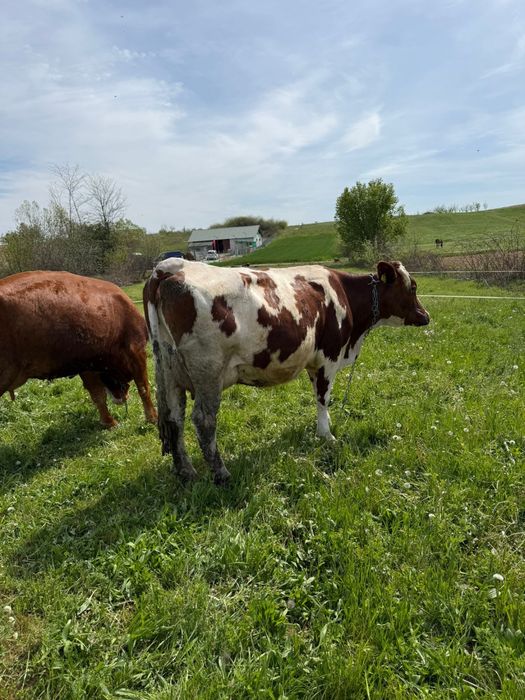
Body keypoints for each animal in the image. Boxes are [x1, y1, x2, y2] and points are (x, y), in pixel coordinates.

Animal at [0, 271, 157, 427]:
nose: (122, 398)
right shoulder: (136, 348)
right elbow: (144, 387)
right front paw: (152, 418)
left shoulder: (87, 364)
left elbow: (98, 396)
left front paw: (109, 422)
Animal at [144, 259, 430, 484]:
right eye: (413, 287)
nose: (426, 315)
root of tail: (169, 268)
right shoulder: (328, 357)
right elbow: (323, 398)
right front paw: (326, 435)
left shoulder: (314, 361)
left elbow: (319, 397)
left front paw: (325, 426)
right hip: (208, 373)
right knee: (204, 420)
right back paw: (221, 474)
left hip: (170, 372)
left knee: (175, 418)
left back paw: (186, 471)